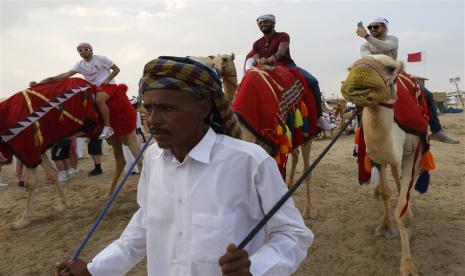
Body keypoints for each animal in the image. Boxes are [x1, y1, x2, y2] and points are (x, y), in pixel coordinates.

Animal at [0, 79, 141, 229]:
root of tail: (121, 90)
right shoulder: (38, 149)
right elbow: (52, 173)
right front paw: (64, 205)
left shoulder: (27, 148)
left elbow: (30, 183)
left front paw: (23, 220)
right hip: (114, 136)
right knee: (121, 161)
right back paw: (109, 196)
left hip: (125, 130)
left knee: (139, 158)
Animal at [198, 53, 318, 218]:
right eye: (212, 57)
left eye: (225, 59)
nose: (213, 69)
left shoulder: (269, 146)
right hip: (291, 135)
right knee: (295, 154)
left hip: (307, 129)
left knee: (307, 167)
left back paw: (308, 210)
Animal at [340, 54, 428, 276]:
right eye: (350, 68)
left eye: (389, 68)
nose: (358, 82)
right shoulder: (379, 157)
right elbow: (387, 193)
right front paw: (386, 228)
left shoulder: (414, 152)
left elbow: (404, 213)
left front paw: (408, 266)